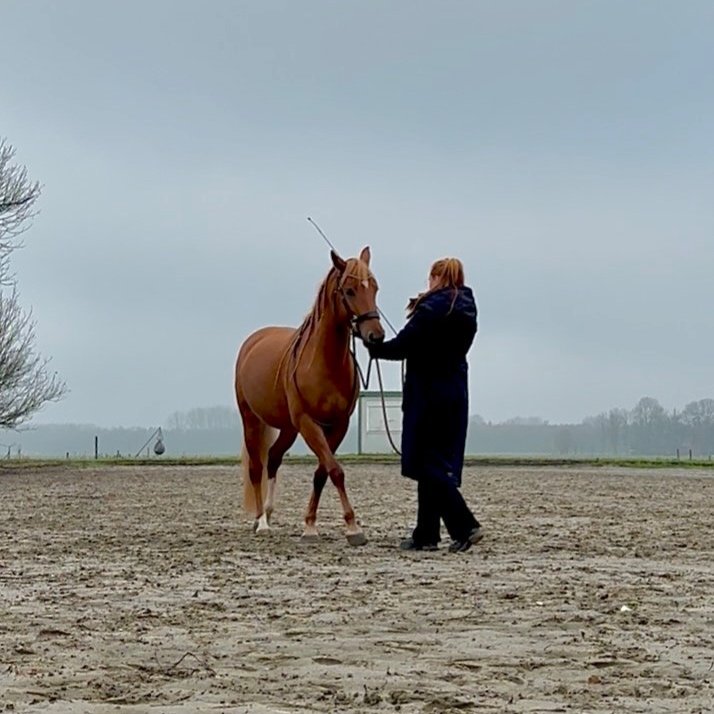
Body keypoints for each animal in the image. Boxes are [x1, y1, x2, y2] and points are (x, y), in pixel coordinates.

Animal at [234, 247, 385, 545]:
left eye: (374, 287)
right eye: (349, 290)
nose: (376, 335)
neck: (325, 362)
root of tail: (253, 341)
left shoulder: (337, 425)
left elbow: (322, 473)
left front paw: (311, 525)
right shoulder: (308, 423)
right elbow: (335, 470)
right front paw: (353, 528)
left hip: (288, 428)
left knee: (274, 458)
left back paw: (269, 512)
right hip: (251, 420)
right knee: (257, 466)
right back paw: (261, 521)